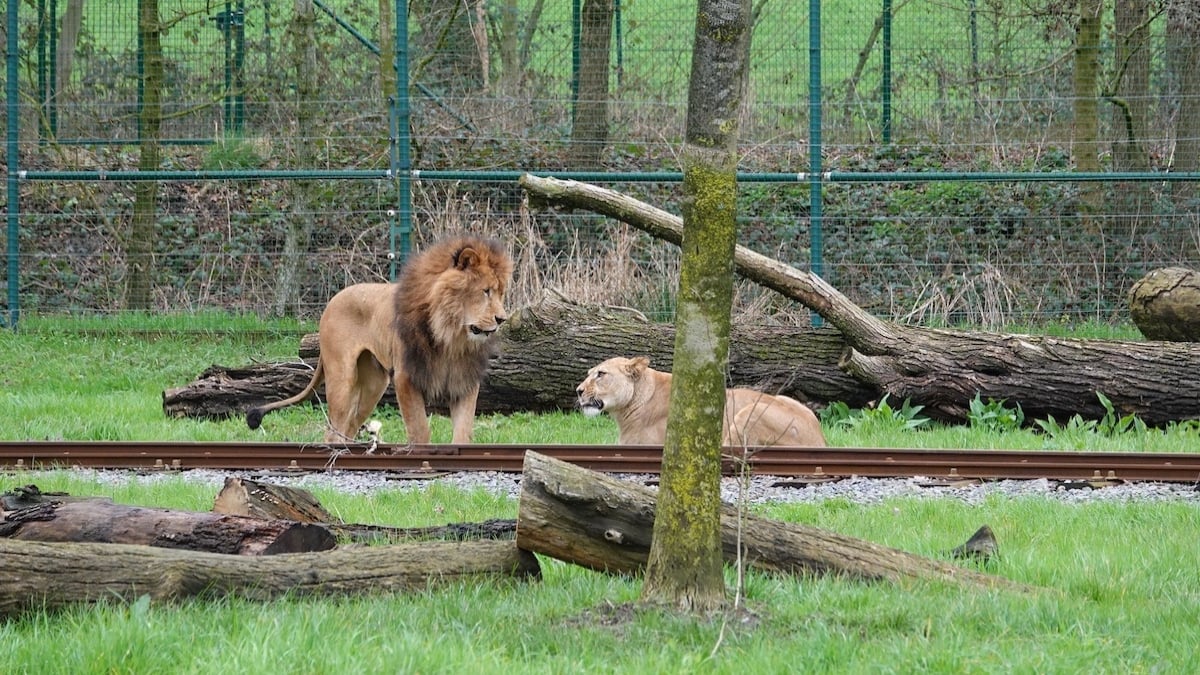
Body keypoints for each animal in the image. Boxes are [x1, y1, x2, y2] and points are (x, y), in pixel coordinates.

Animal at [248, 234, 516, 444]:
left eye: (501, 293)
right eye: (485, 291)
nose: (502, 319)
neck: (451, 336)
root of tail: (332, 301)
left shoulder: (464, 380)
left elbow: (463, 432)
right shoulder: (406, 377)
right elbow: (420, 430)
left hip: (373, 385)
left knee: (349, 427)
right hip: (342, 379)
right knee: (333, 430)